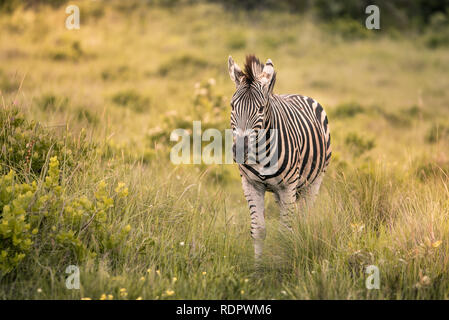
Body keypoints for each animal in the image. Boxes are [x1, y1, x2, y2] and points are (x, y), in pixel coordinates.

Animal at [228, 54, 328, 260]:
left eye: (260, 109)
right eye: (232, 106)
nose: (240, 150)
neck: (260, 154)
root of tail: (297, 94)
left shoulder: (288, 186)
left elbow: (284, 232)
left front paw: (282, 264)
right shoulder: (251, 184)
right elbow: (258, 230)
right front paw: (258, 266)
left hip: (314, 181)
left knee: (303, 218)